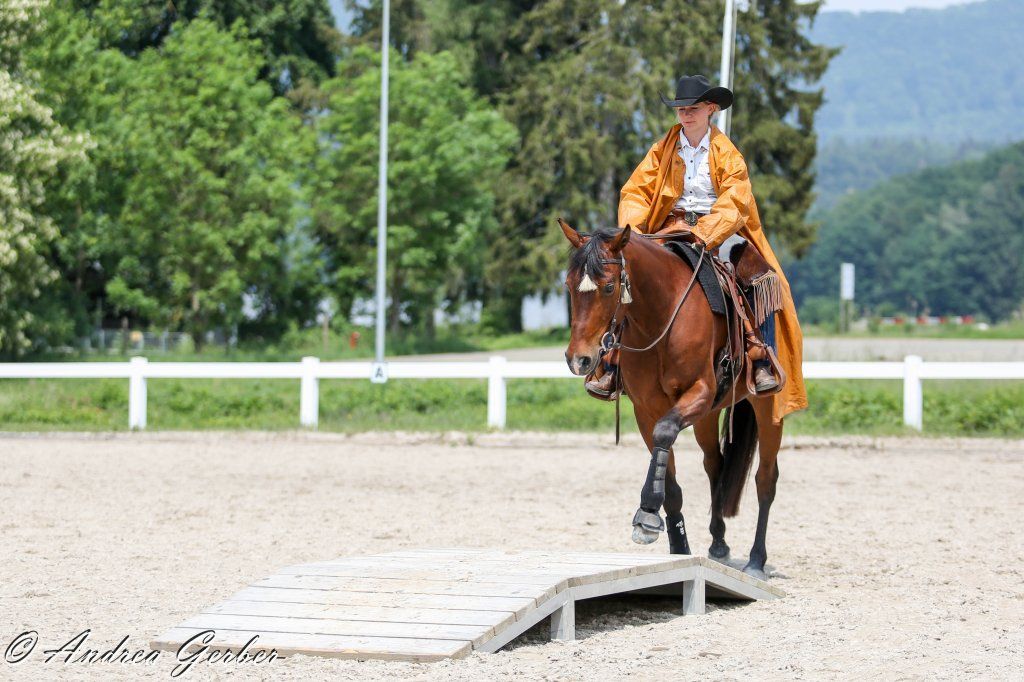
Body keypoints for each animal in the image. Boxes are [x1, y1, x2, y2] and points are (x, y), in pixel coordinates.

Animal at [558, 219, 784, 580]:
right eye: (568, 285)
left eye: (609, 287)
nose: (578, 359)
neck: (661, 316)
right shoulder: (647, 408)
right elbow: (669, 474)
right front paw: (677, 544)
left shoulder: (699, 392)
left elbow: (665, 433)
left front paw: (647, 510)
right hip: (707, 417)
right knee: (715, 465)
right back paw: (718, 543)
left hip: (768, 408)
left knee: (766, 479)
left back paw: (756, 560)